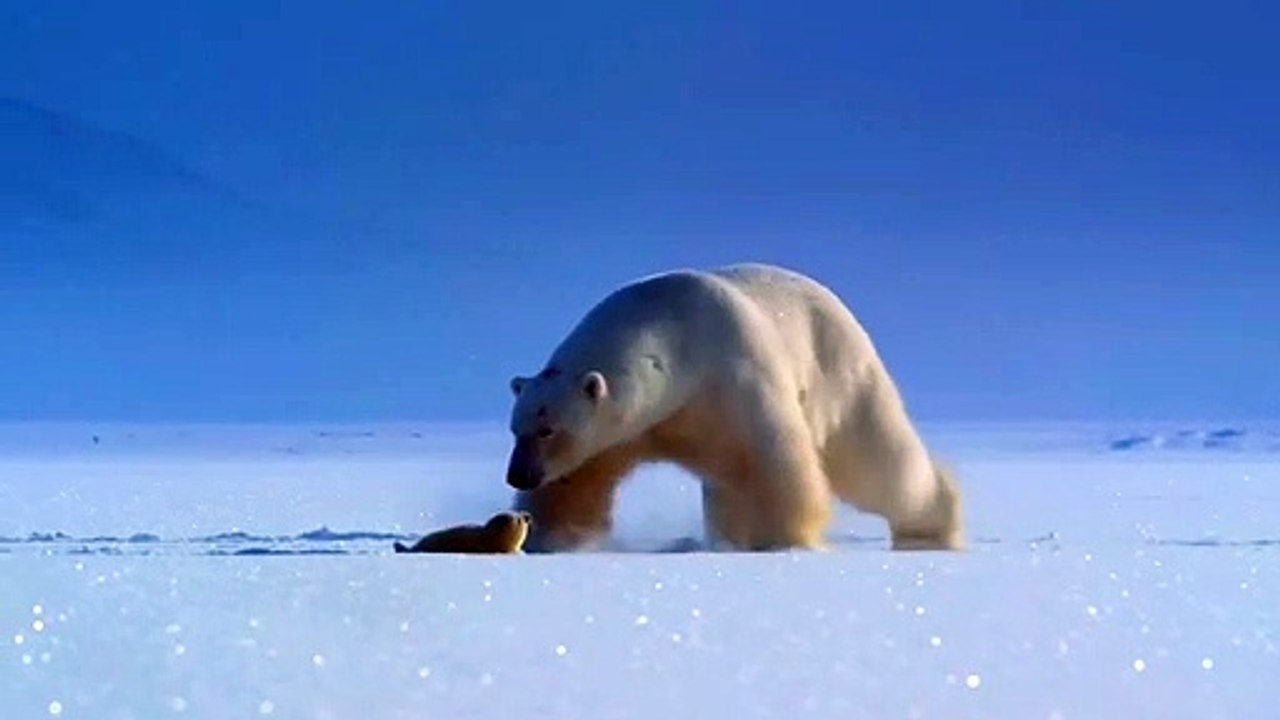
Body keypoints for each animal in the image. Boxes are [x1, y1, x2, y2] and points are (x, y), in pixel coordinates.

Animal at [504, 262, 964, 554]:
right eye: (517, 428)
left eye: (547, 429)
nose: (518, 475)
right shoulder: (624, 431)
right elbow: (576, 482)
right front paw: (549, 538)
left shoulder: (730, 377)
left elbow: (774, 465)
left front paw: (786, 539)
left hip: (842, 375)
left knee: (877, 460)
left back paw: (930, 531)